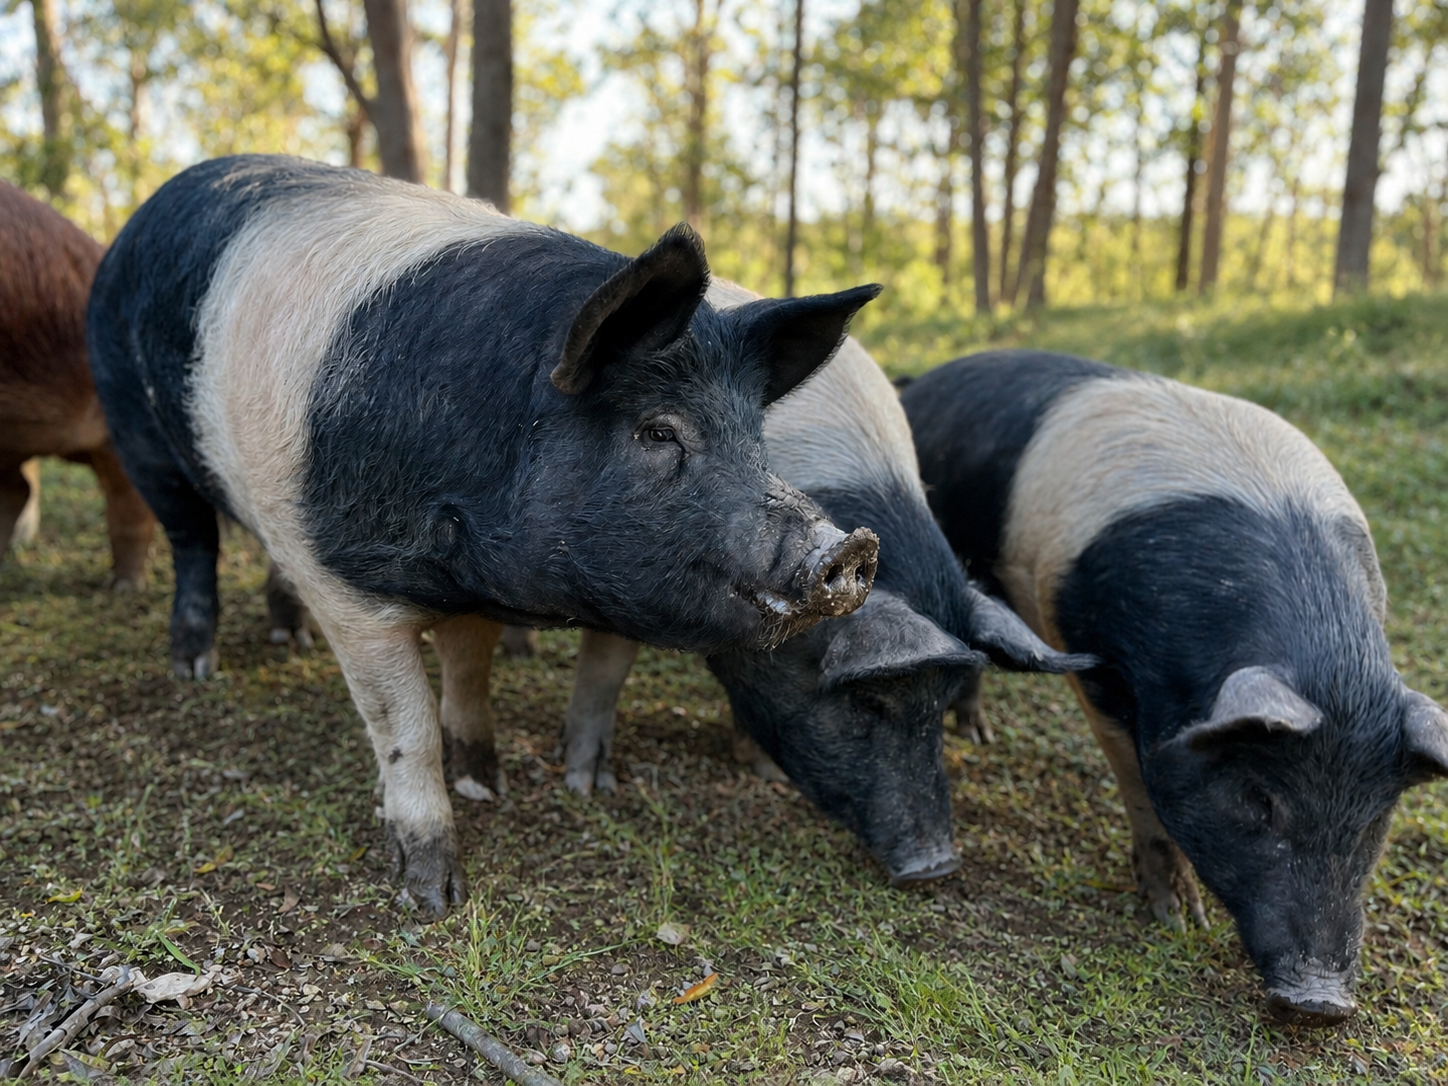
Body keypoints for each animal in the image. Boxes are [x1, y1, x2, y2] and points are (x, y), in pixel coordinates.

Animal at [85, 154, 882, 919]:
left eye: (757, 439)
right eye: (658, 431)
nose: (851, 549)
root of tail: (146, 211)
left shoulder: (465, 584)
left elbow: (470, 667)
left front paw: (484, 781)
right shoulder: (348, 588)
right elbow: (404, 725)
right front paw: (432, 897)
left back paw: (292, 642)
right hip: (137, 430)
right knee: (193, 543)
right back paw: (194, 667)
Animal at [543, 284, 1094, 886]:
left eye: (942, 704)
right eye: (870, 701)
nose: (937, 865)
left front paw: (763, 769)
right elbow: (608, 657)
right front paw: (586, 786)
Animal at [900, 349, 1448, 1026]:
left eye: (1376, 820)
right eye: (1259, 800)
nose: (1319, 1000)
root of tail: (925, 381)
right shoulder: (1094, 658)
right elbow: (1138, 782)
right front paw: (1177, 919)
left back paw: (978, 733)